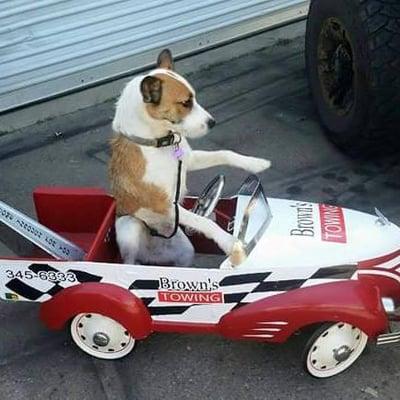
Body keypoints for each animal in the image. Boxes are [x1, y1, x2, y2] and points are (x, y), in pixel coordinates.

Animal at [109, 49, 272, 266]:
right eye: (185, 103)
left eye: (193, 99)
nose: (212, 122)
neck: (160, 144)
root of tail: (151, 255)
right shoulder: (166, 207)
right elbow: (202, 221)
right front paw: (230, 243)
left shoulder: (190, 160)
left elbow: (225, 153)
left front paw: (255, 163)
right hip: (130, 226)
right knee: (129, 262)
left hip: (185, 250)